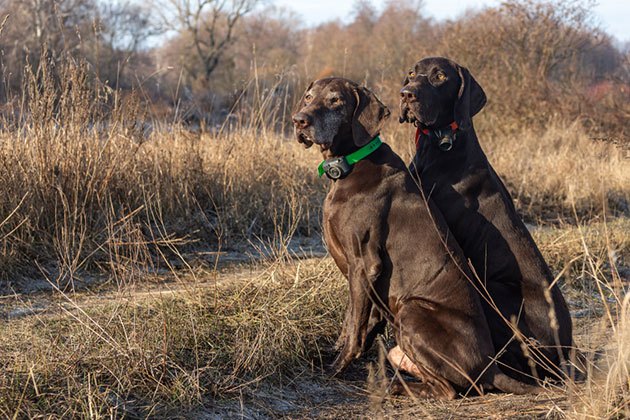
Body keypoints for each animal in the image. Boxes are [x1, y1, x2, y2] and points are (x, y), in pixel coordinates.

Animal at [294, 78, 540, 400]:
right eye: (308, 97)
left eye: (336, 100)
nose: (299, 120)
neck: (351, 163)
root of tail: (491, 368)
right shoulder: (357, 274)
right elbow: (351, 319)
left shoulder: (364, 264)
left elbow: (355, 329)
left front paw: (337, 367)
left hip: (411, 311)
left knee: (448, 390)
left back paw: (394, 386)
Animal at [402, 57, 576, 382]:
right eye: (411, 73)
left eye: (440, 76)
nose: (406, 94)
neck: (442, 144)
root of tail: (565, 353)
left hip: (494, 290)